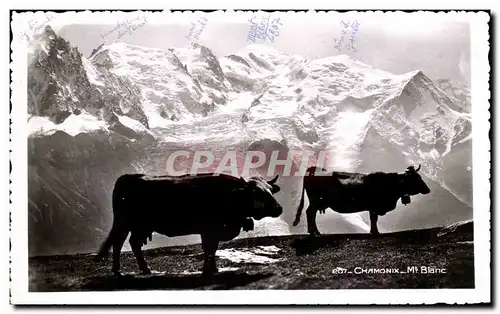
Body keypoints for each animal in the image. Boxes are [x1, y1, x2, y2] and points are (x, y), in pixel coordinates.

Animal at [94, 173, 282, 276]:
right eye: (257, 192)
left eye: (271, 191)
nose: (278, 208)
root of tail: (128, 177)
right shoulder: (209, 229)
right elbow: (209, 249)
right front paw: (209, 270)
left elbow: (212, 249)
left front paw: (213, 269)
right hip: (125, 223)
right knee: (119, 244)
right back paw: (120, 270)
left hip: (139, 227)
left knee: (132, 243)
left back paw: (141, 269)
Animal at [292, 164, 430, 236]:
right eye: (416, 178)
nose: (428, 190)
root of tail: (315, 169)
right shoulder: (374, 206)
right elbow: (374, 219)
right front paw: (375, 232)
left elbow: (373, 219)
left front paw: (374, 232)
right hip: (315, 201)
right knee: (310, 213)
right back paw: (313, 232)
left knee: (312, 214)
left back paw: (316, 232)